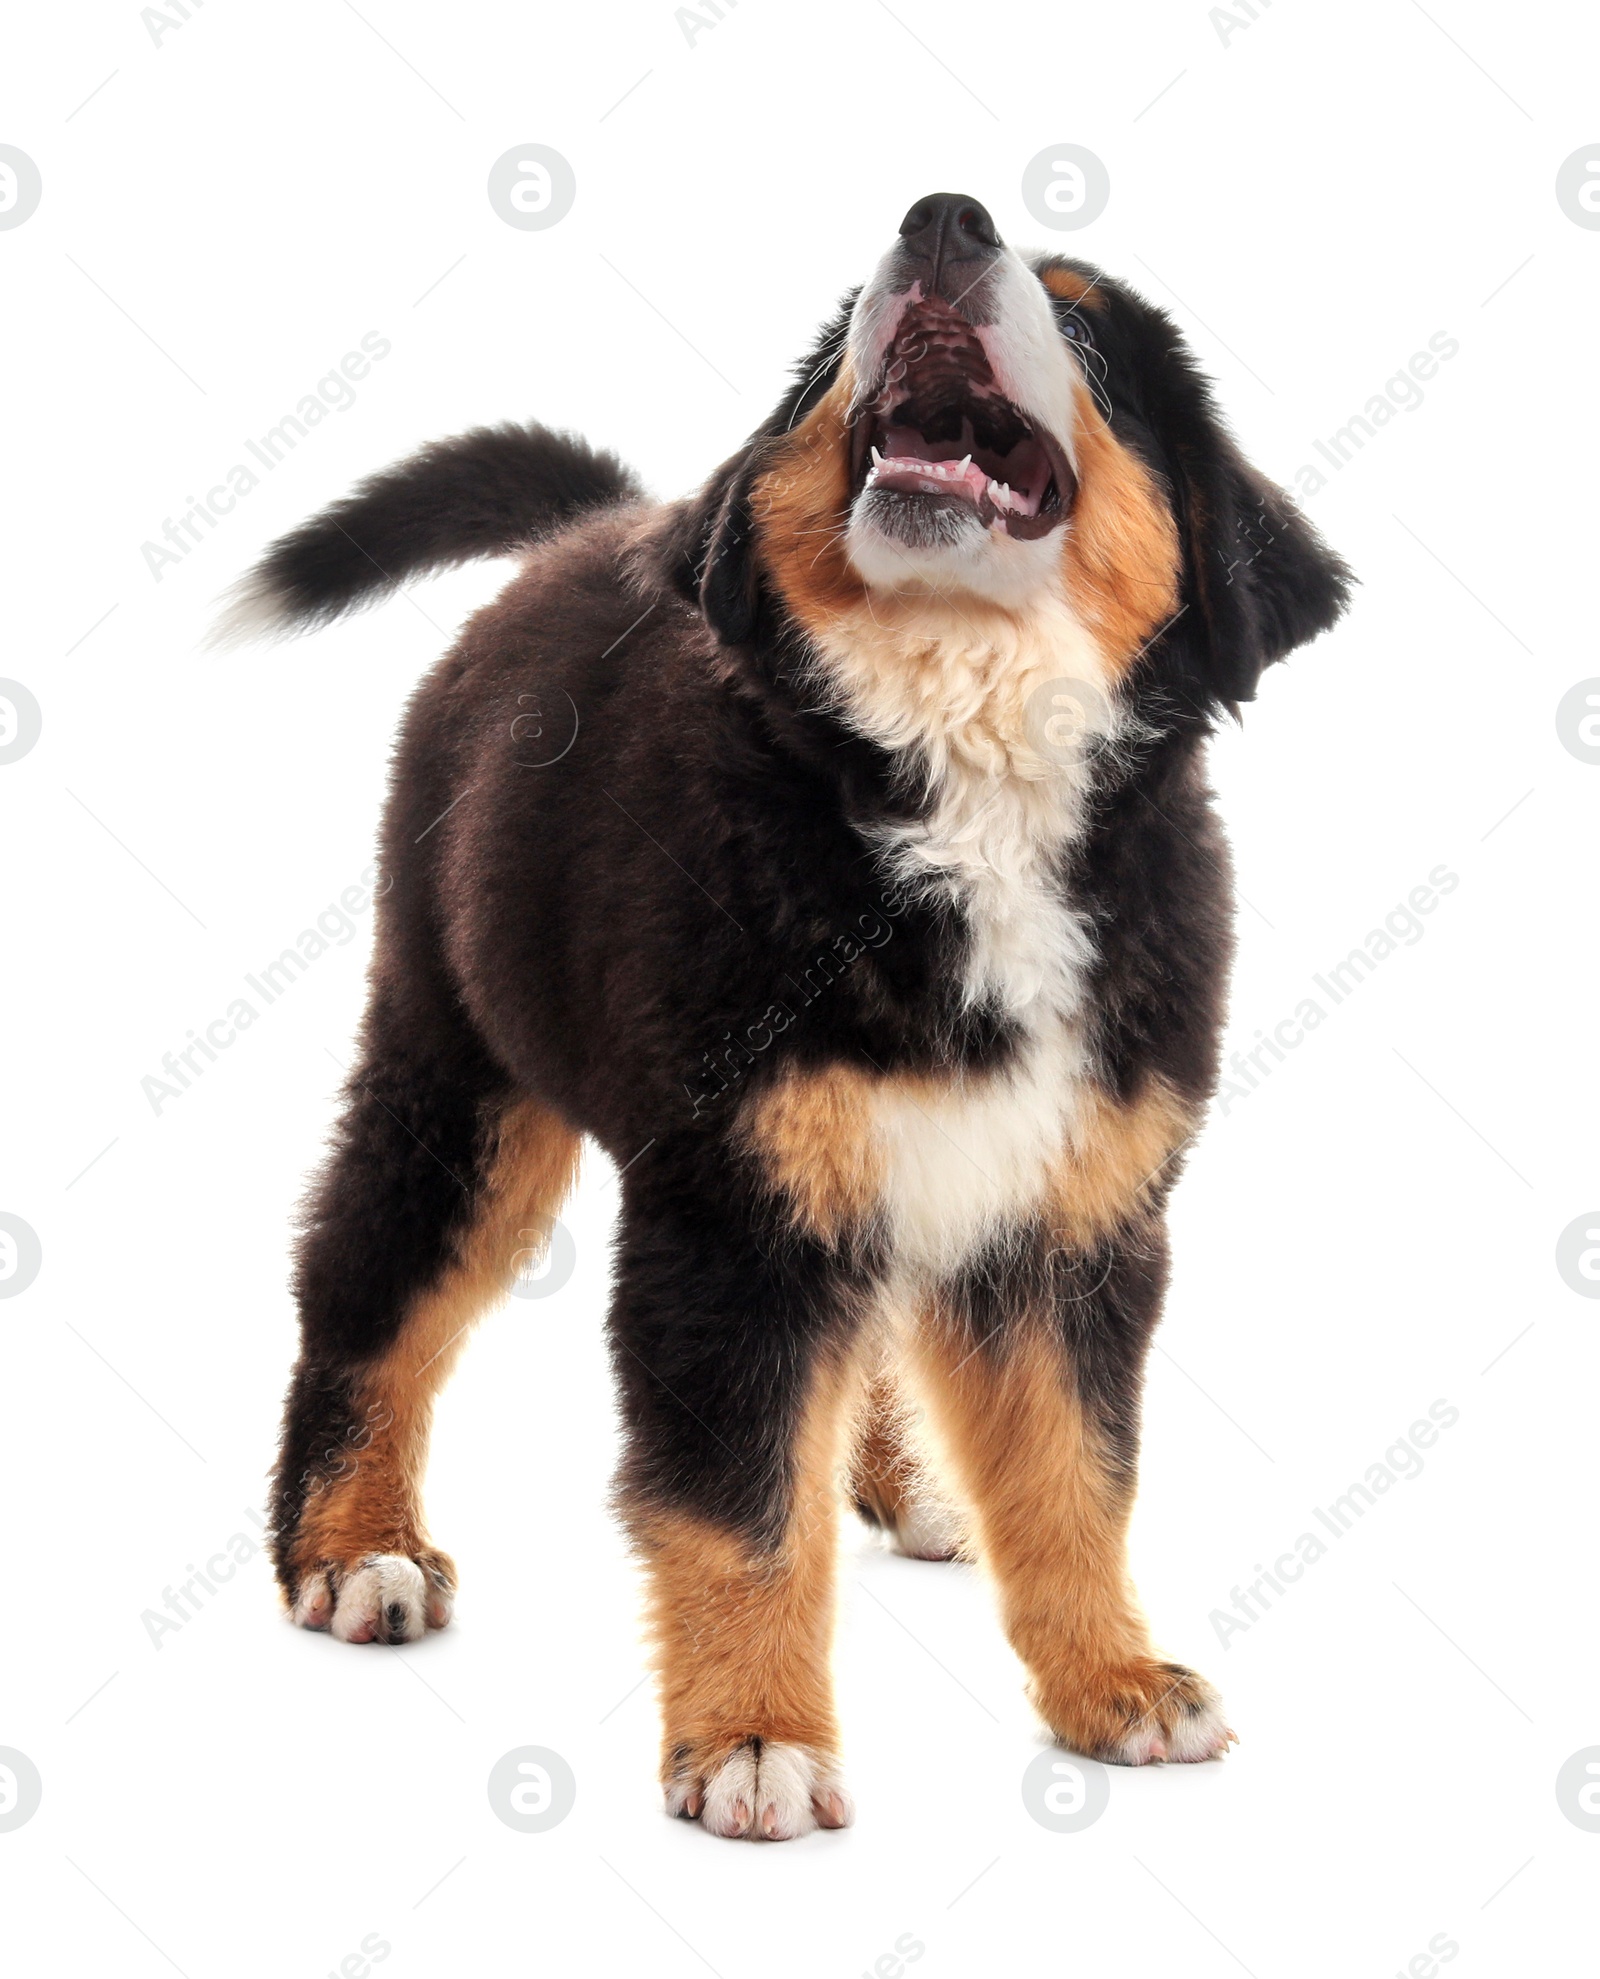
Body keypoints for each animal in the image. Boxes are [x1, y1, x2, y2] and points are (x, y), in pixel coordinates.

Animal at [218, 188, 1346, 1836]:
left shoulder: (1073, 1215)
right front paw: (754, 1737)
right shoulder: (730, 1217)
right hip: (461, 1067)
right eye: (829, 358)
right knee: (367, 1293)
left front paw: (1112, 1681)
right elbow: (742, 1508)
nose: (944, 221)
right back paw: (352, 1547)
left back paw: (913, 1480)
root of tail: (584, 532)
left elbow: (1074, 1476)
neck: (962, 784)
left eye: (1083, 331)